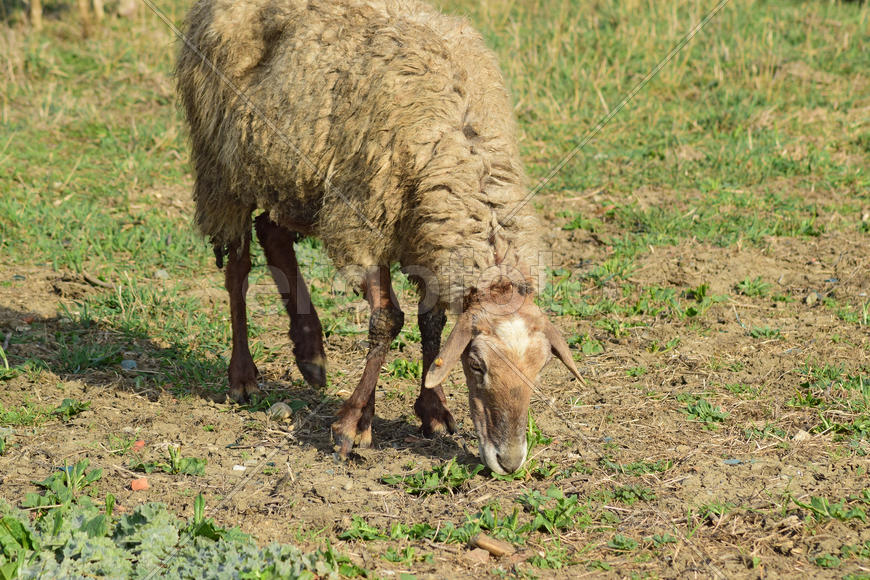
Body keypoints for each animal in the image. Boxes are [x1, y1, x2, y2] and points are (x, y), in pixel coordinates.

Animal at [176, 0, 583, 475]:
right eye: (477, 365)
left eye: (539, 368)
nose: (510, 460)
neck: (460, 142)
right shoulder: (364, 221)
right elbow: (388, 320)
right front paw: (353, 424)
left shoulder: (424, 235)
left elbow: (431, 323)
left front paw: (433, 411)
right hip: (225, 167)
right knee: (238, 269)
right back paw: (243, 377)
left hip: (293, 175)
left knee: (272, 234)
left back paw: (310, 351)